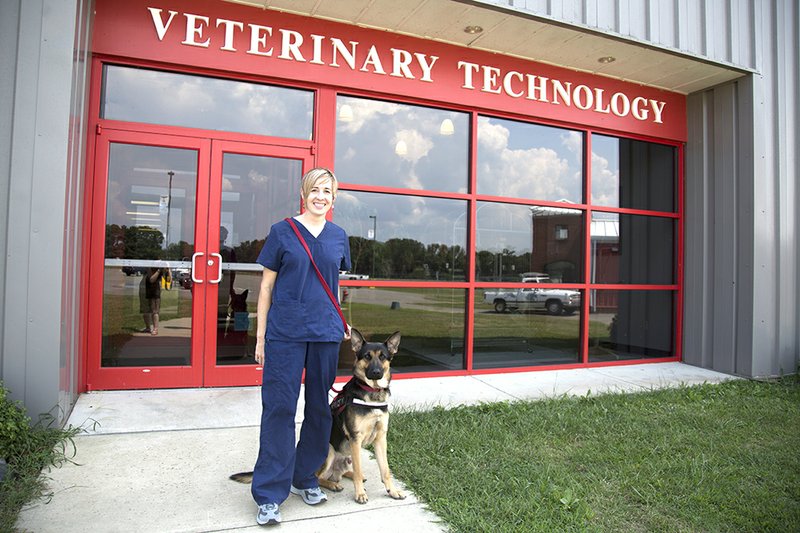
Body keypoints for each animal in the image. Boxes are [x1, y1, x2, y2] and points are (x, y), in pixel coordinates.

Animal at [231, 326, 406, 504]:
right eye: (367, 356)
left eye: (383, 356)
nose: (376, 372)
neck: (371, 391)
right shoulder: (355, 438)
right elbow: (358, 469)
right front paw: (360, 493)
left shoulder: (380, 438)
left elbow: (385, 470)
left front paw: (392, 491)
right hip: (329, 450)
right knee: (317, 478)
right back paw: (332, 485)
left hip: (346, 456)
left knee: (342, 473)